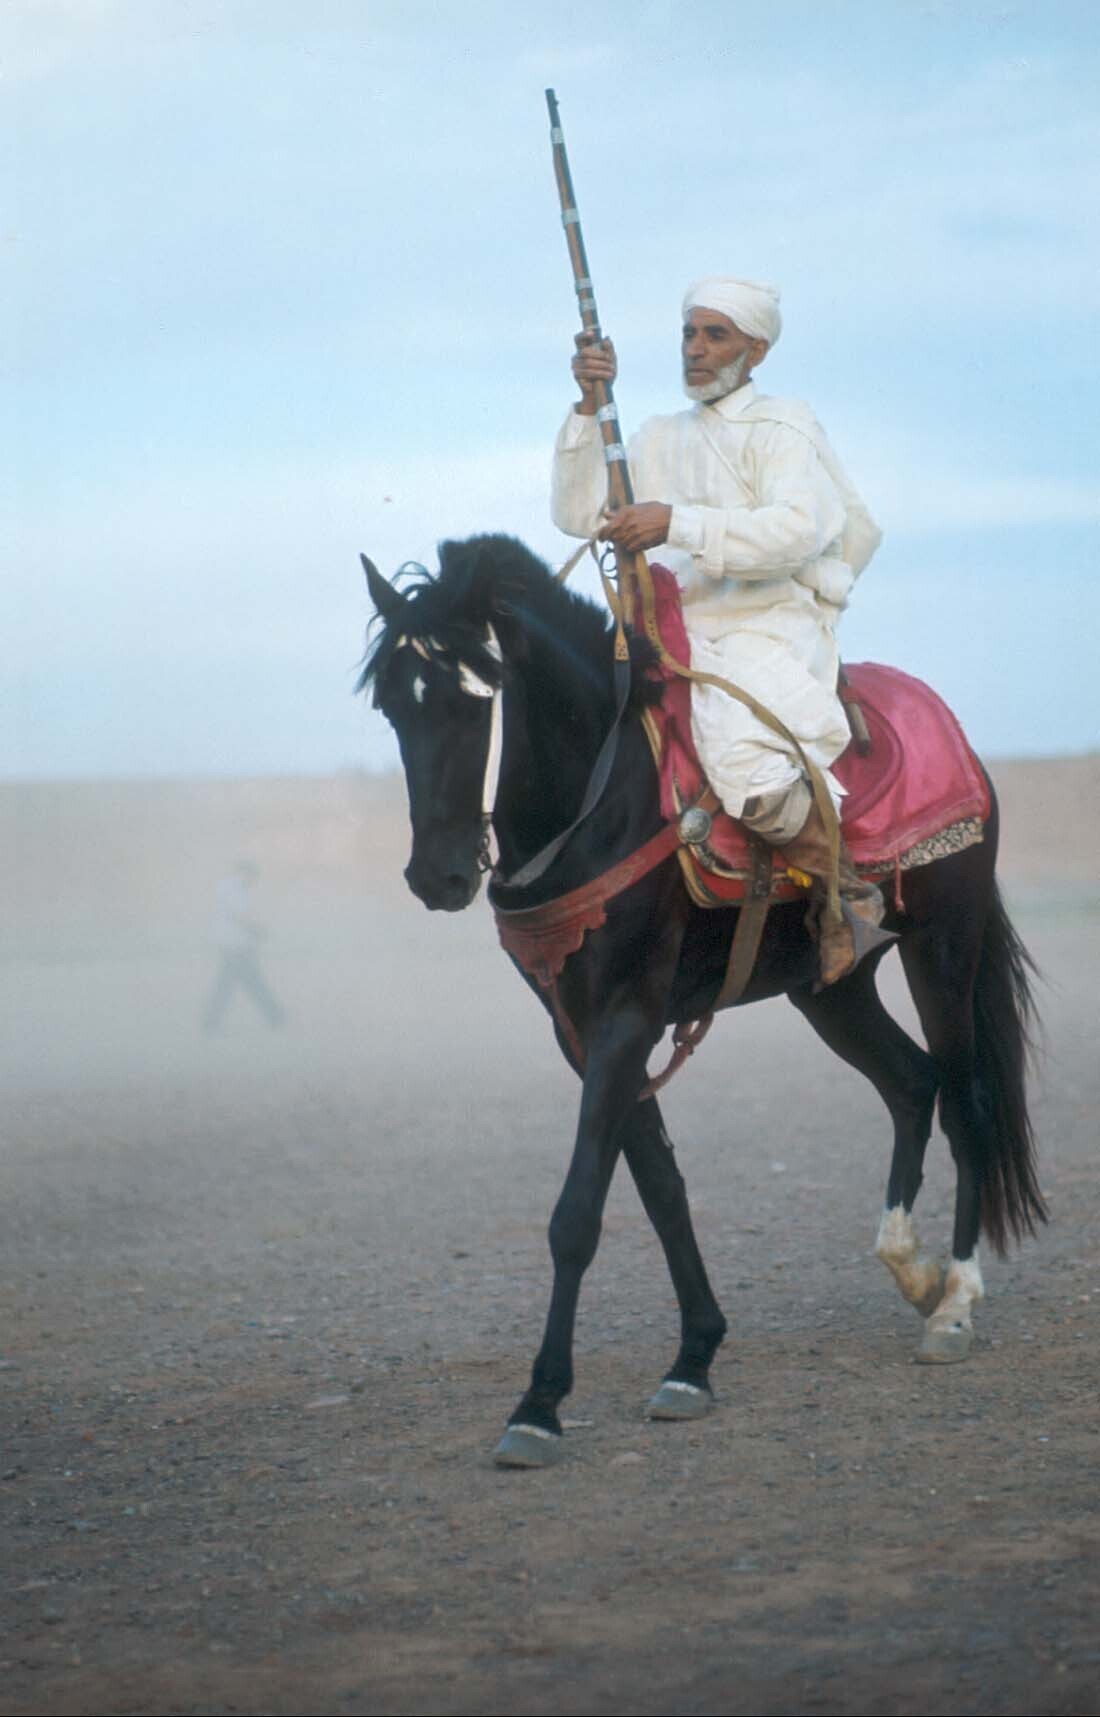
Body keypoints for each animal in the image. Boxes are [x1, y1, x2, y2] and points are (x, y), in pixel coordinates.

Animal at [359, 532, 1044, 1469]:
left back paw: (955, 1303)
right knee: (913, 1083)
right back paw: (910, 1265)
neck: (597, 801)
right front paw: (694, 1357)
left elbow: (578, 1213)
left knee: (967, 1094)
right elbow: (659, 1186)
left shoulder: (626, 1017)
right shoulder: (582, 1030)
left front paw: (538, 1405)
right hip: (830, 983)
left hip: (944, 943)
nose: (438, 877)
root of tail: (964, 748)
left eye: (474, 699)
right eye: (394, 705)